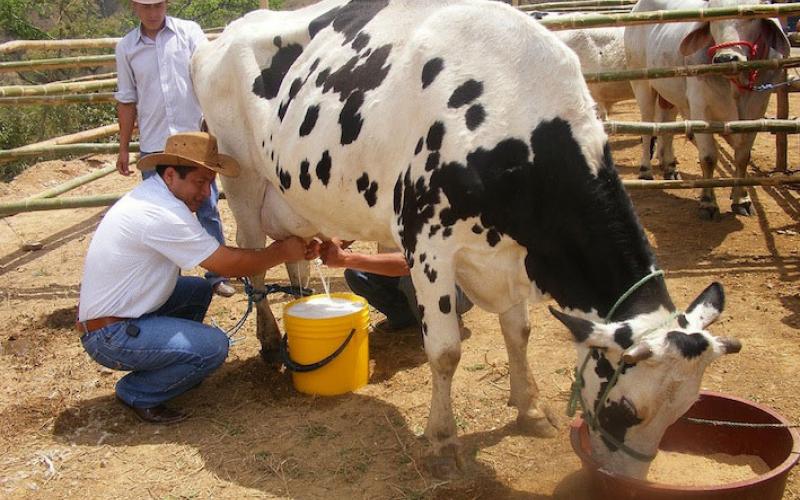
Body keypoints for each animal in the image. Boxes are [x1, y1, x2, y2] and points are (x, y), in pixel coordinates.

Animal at [192, 0, 736, 476]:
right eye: (627, 410)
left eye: (683, 412)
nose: (621, 476)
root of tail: (227, 35)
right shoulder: (427, 244)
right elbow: (446, 352)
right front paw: (442, 443)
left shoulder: (509, 254)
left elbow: (519, 332)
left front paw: (530, 411)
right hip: (242, 182)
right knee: (254, 261)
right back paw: (270, 343)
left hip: (294, 194)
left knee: (296, 258)